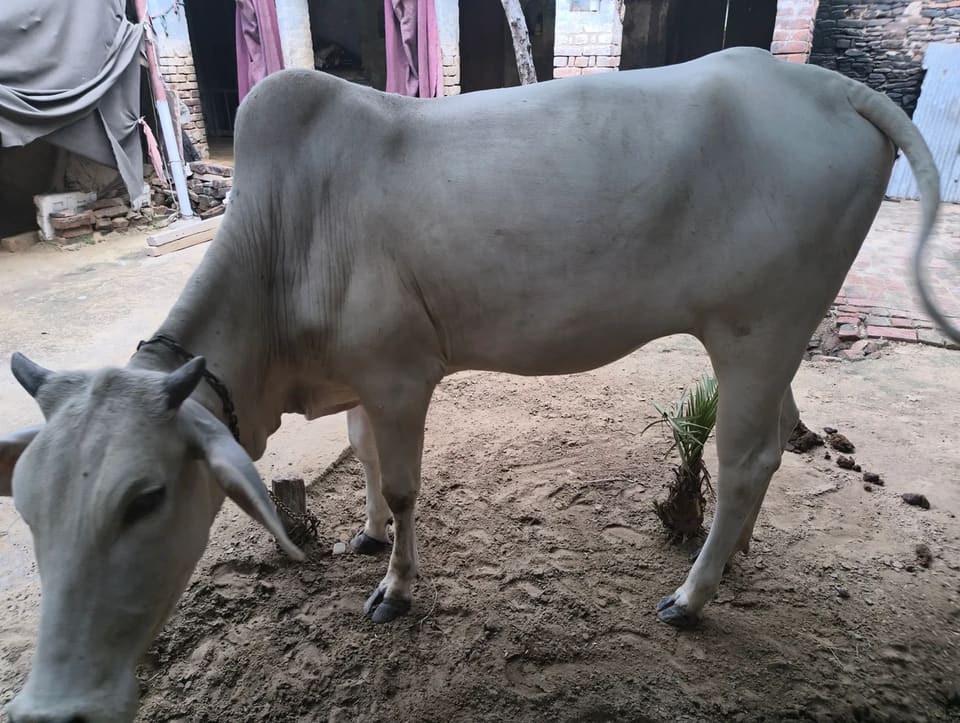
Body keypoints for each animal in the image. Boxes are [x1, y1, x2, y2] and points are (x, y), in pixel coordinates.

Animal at [1, 47, 954, 722]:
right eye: (29, 506)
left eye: (145, 499)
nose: (54, 706)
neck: (287, 236)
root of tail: (829, 87)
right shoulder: (361, 381)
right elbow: (361, 456)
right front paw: (367, 538)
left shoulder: (400, 375)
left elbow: (401, 481)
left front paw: (396, 587)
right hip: (775, 340)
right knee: (772, 447)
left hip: (756, 332)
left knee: (747, 457)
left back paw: (691, 596)